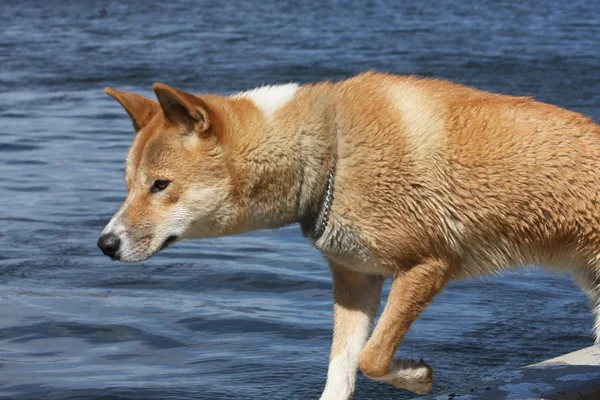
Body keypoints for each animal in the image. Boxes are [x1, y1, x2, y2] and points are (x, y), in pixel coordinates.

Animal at [98, 70, 600, 398]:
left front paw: (417, 376)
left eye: (160, 185)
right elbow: (342, 369)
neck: (330, 153)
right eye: (128, 185)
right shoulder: (356, 280)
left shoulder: (426, 265)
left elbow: (372, 358)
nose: (105, 244)